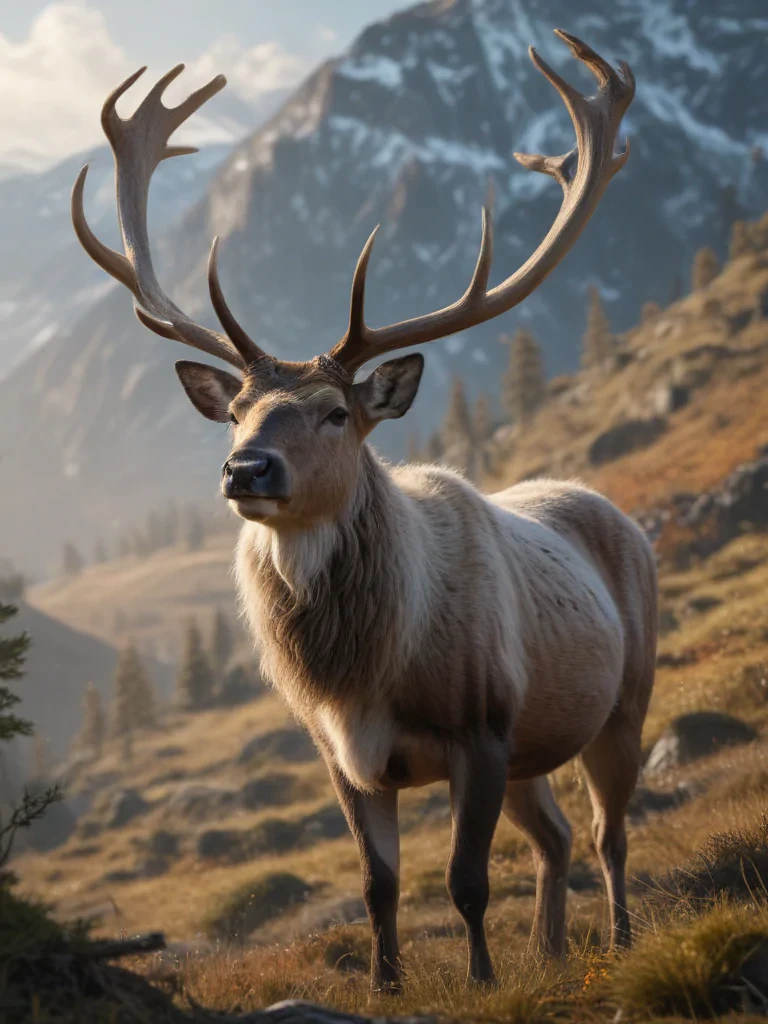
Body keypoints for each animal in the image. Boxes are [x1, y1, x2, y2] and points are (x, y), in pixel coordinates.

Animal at [72, 31, 656, 991]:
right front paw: (387, 982)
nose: (246, 468)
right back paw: (550, 950)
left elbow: (462, 881)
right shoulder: (342, 757)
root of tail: (617, 514)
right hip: (536, 746)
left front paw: (481, 979)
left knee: (610, 833)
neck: (363, 674)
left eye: (336, 413)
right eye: (236, 412)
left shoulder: (482, 724)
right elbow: (378, 886)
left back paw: (618, 940)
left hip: (622, 701)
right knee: (559, 836)